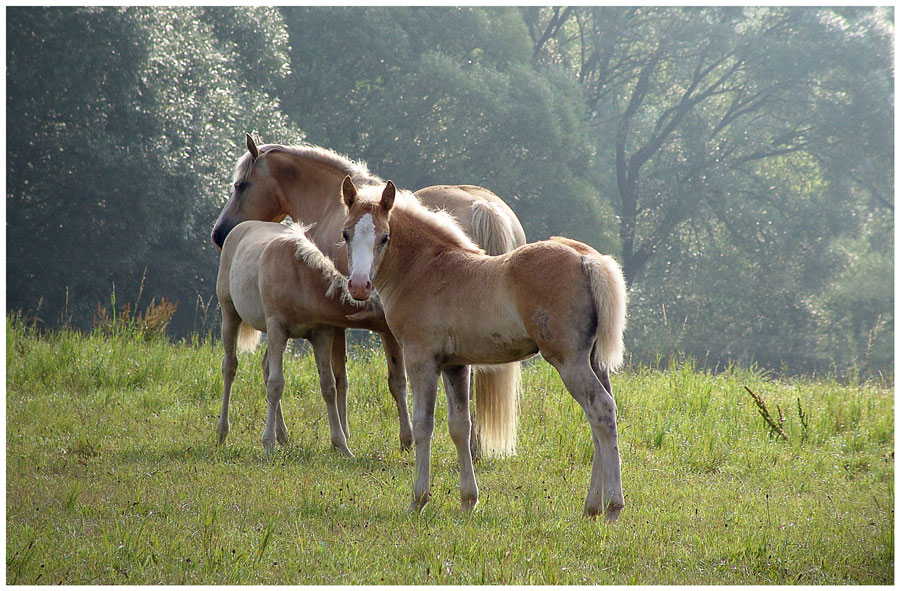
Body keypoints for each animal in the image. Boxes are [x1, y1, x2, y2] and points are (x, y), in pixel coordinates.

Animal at [216, 220, 414, 456]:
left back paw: (283, 435)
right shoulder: (276, 328)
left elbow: (328, 385)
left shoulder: (321, 334)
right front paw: (268, 444)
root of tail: (238, 228)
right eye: (384, 315)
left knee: (265, 366)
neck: (300, 278)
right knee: (230, 366)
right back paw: (223, 432)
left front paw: (342, 446)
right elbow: (276, 384)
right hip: (230, 314)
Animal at [338, 177, 624, 524]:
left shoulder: (422, 358)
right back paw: (592, 506)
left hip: (568, 360)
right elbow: (460, 426)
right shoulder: (455, 365)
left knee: (600, 409)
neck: (424, 269)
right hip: (594, 361)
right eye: (346, 233)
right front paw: (468, 501)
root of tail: (586, 259)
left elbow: (423, 423)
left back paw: (612, 507)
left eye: (384, 236)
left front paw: (418, 499)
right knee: (601, 419)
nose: (359, 286)